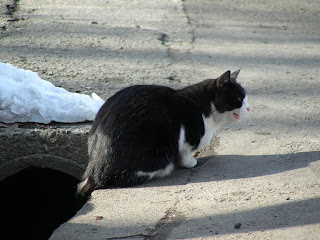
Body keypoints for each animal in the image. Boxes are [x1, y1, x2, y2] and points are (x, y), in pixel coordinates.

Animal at [77, 70, 250, 198]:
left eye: (245, 98)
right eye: (239, 99)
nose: (249, 108)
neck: (205, 107)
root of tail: (93, 172)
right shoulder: (187, 133)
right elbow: (185, 153)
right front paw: (189, 162)